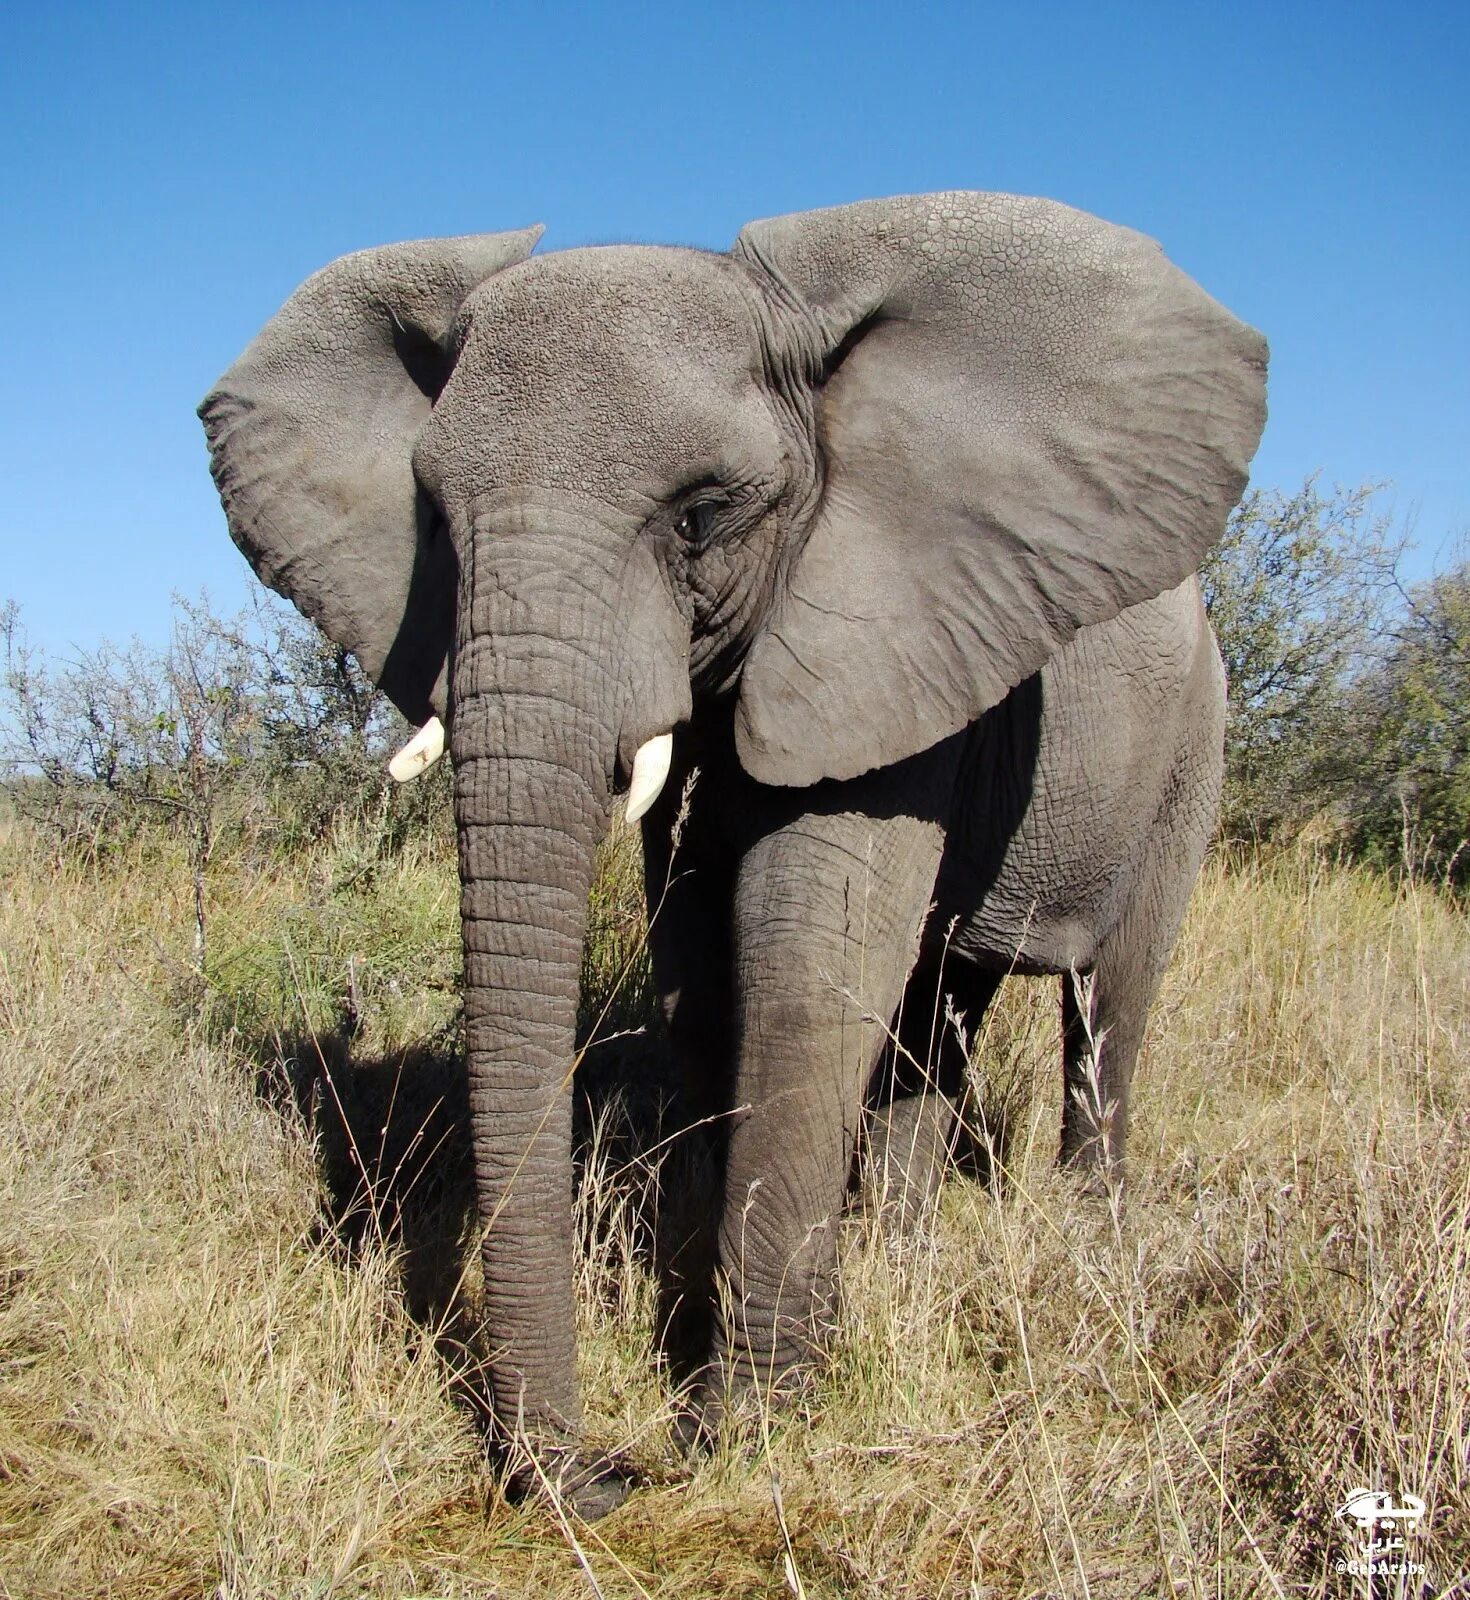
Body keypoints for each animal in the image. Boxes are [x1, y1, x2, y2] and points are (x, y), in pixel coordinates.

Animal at [201, 190, 1273, 1510]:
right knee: (938, 1008)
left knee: (1108, 1002)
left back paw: (1085, 1247)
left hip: (1190, 751)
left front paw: (746, 1430)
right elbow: (702, 978)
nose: (597, 1479)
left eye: (702, 513)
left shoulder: (878, 624)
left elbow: (804, 970)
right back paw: (904, 1257)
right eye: (434, 520)